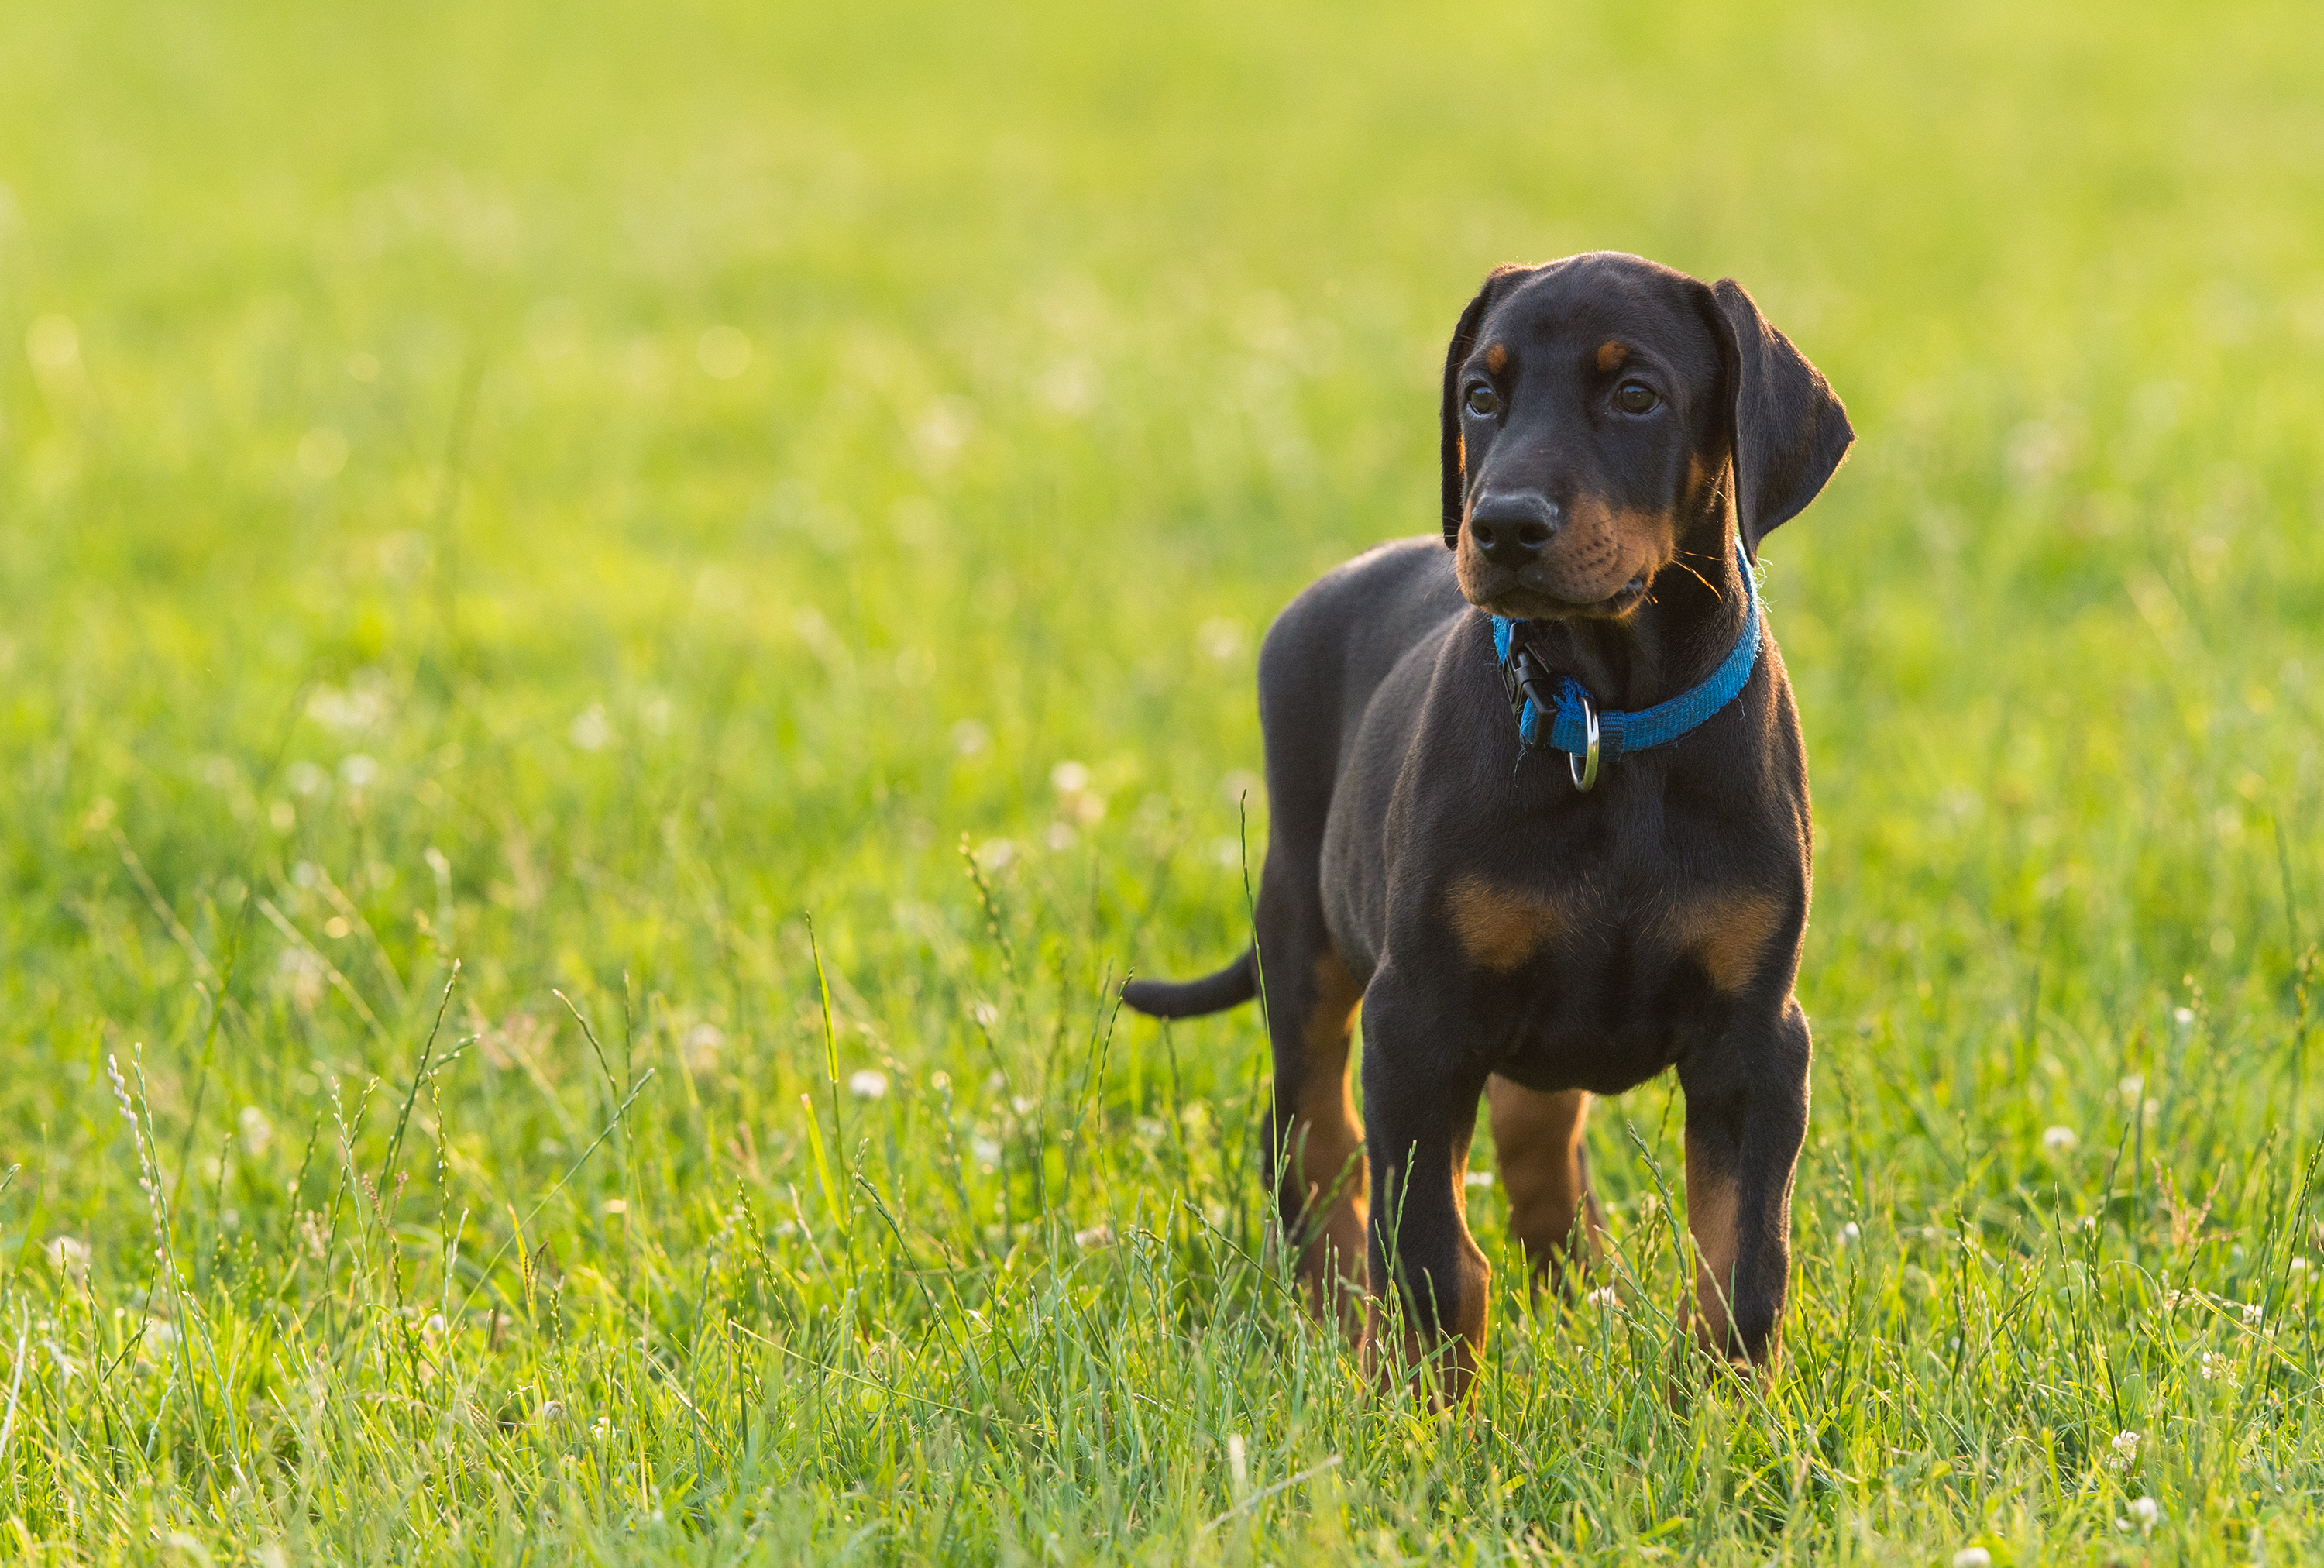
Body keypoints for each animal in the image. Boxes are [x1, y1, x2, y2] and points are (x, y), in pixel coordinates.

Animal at [1125, 254, 1850, 1403]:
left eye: (1635, 394)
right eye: (1480, 394)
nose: (1502, 526)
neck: (1606, 716)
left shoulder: (1758, 1038)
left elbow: (1744, 1262)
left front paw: (1725, 1417)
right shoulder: (1419, 1017)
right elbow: (1431, 1253)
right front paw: (1427, 1414)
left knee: (1535, 1135)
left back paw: (1580, 1293)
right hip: (1307, 943)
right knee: (1316, 1148)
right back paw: (1340, 1330)